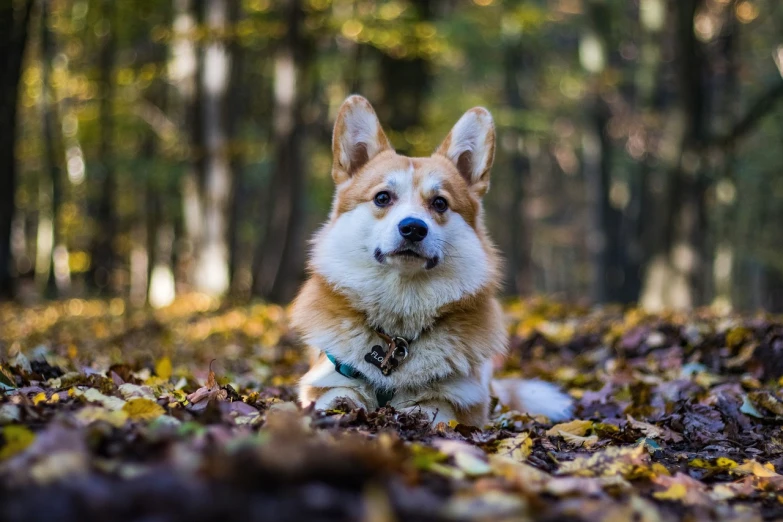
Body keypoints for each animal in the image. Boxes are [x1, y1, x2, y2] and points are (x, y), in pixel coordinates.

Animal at [290, 96, 572, 426]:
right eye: (382, 197)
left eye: (439, 203)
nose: (413, 228)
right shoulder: (325, 380)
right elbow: (335, 397)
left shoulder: (464, 400)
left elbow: (434, 410)